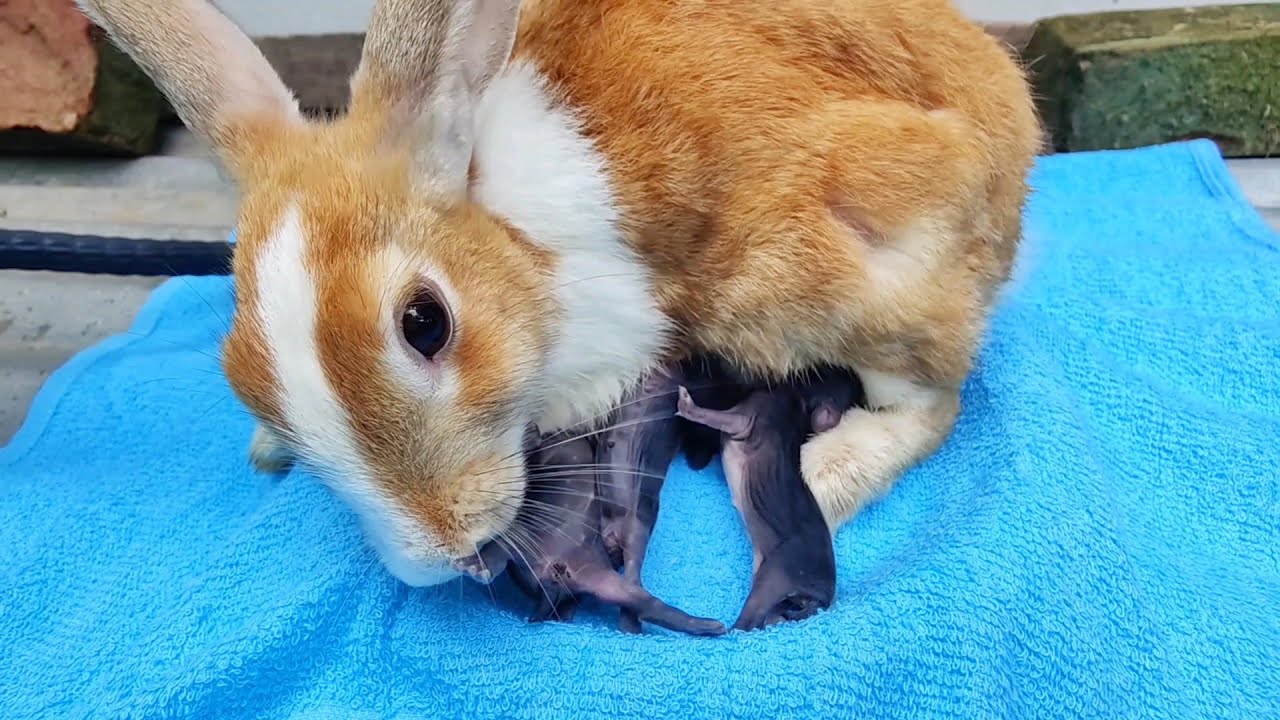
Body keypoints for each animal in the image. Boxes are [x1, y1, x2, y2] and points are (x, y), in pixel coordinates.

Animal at [77, 0, 1040, 587]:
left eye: (424, 323)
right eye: (243, 377)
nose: (445, 553)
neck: (506, 234)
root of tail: (1017, 151)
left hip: (827, 279)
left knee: (937, 401)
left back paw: (832, 472)